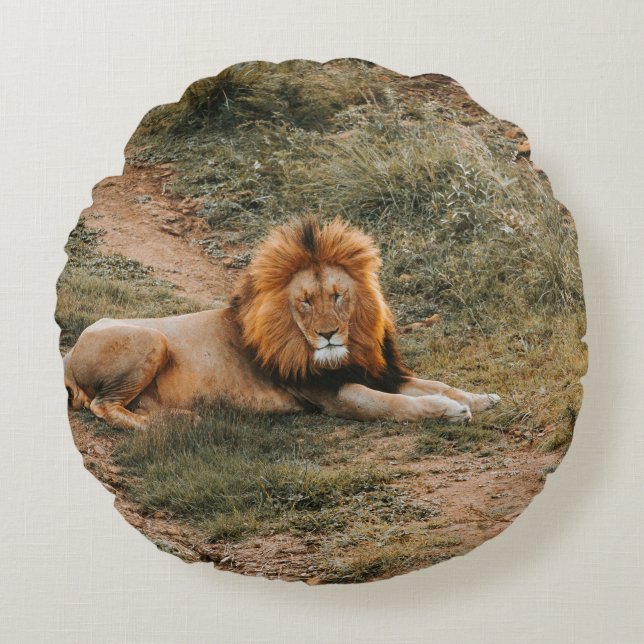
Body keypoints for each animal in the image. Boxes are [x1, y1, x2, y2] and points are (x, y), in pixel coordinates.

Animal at [63, 217, 500, 430]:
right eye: (304, 302)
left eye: (337, 296)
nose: (328, 335)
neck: (350, 350)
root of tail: (68, 357)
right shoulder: (334, 395)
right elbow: (395, 406)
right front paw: (450, 411)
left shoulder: (380, 372)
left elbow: (437, 383)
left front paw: (479, 398)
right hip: (151, 339)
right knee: (103, 406)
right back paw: (163, 426)